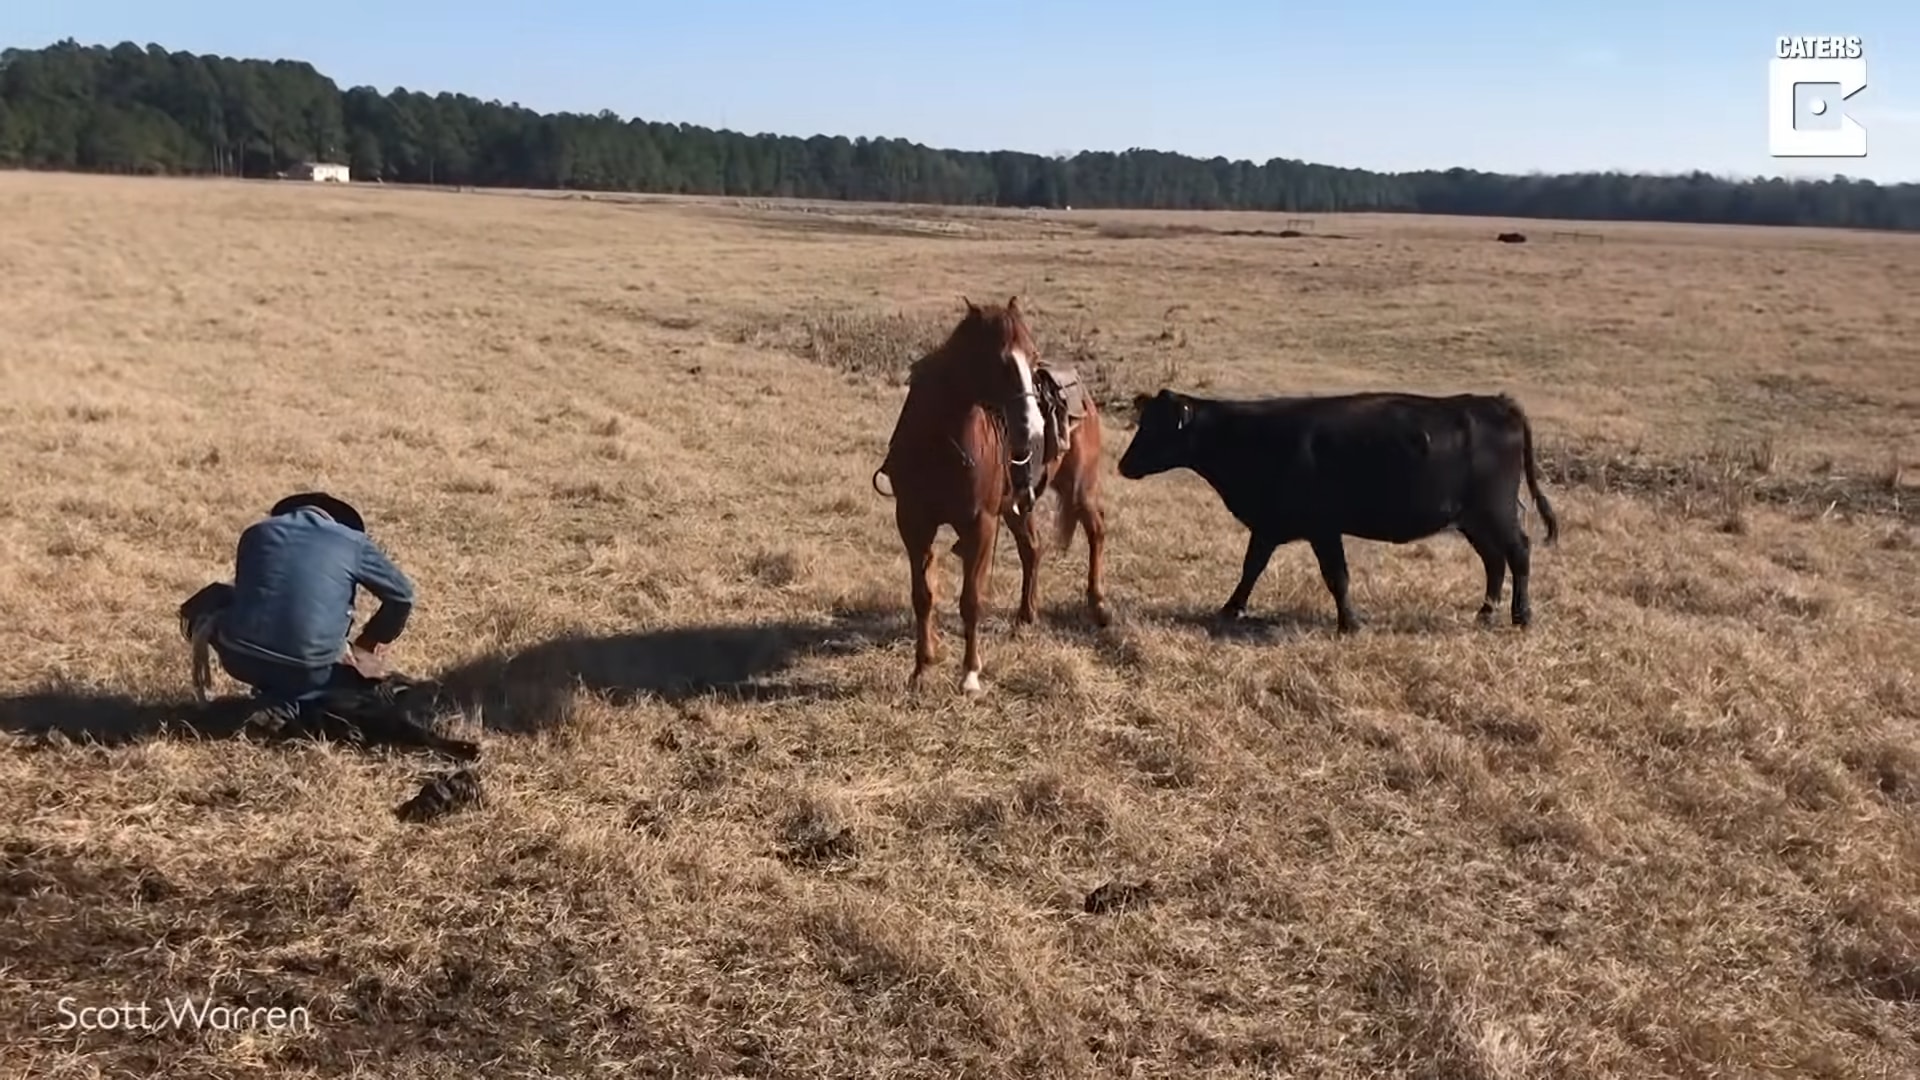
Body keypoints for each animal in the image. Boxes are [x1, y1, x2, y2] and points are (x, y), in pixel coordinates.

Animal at [871, 294, 1113, 691]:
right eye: (997, 361)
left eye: (1032, 355)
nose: (1033, 429)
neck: (939, 445)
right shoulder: (913, 523)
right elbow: (923, 595)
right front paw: (922, 669)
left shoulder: (980, 525)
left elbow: (971, 600)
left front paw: (970, 675)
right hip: (1016, 506)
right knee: (1033, 548)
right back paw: (1025, 616)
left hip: (1079, 489)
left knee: (1096, 530)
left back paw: (1098, 605)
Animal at [1121, 386, 1551, 630]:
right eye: (1143, 421)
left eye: (1156, 428)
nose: (1123, 465)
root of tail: (1497, 403)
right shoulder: (1269, 524)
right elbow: (1251, 567)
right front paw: (1231, 609)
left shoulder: (1323, 528)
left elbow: (1337, 576)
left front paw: (1350, 623)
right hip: (1472, 519)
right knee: (1494, 560)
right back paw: (1486, 613)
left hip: (1495, 510)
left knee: (1519, 552)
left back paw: (1522, 617)